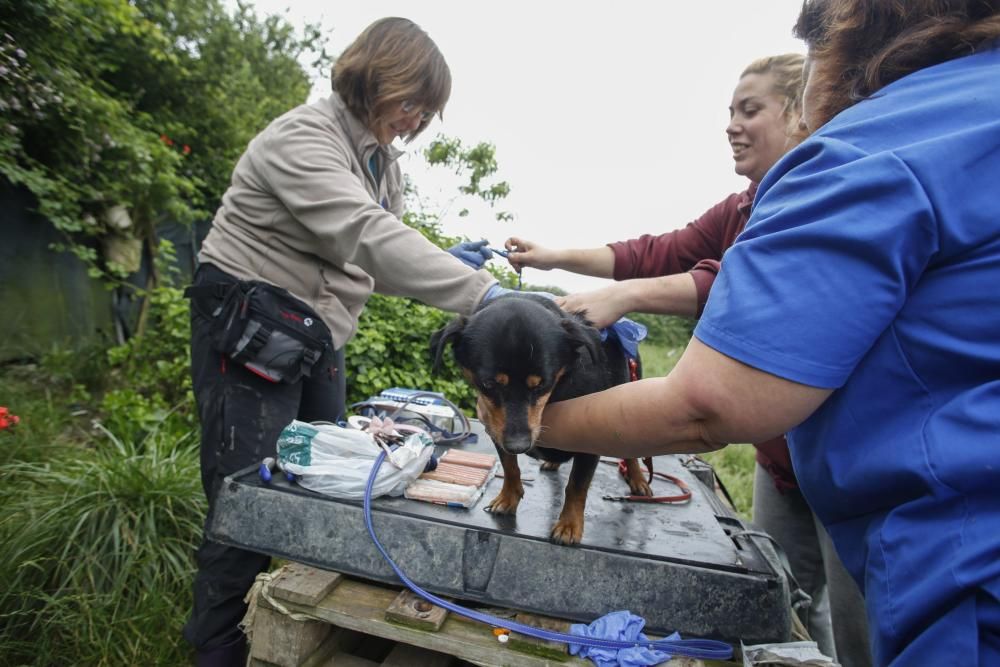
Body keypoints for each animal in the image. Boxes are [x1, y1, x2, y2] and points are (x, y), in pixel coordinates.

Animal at [432, 294, 656, 544]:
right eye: (488, 384)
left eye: (542, 384)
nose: (518, 445)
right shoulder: (496, 429)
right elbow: (510, 467)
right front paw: (508, 498)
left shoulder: (594, 439)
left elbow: (577, 486)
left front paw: (569, 526)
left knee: (632, 454)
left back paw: (638, 480)